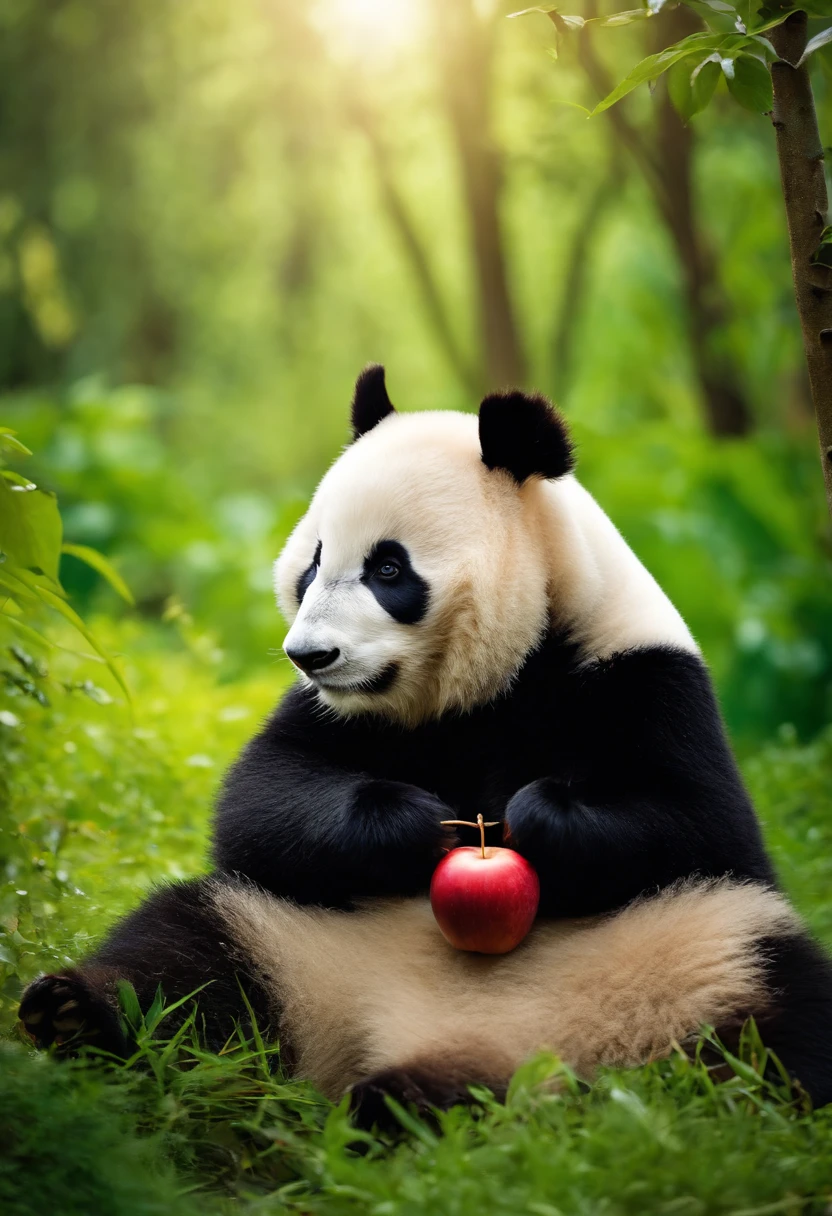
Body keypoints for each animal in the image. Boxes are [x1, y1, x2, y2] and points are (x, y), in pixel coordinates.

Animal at [16, 364, 832, 1123]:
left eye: (388, 567)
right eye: (313, 563)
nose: (310, 655)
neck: (500, 676)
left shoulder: (642, 677)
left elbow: (698, 821)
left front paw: (532, 816)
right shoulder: (339, 716)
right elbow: (259, 801)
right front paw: (415, 822)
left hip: (690, 954)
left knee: (777, 1018)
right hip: (296, 939)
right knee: (187, 953)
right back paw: (73, 1013)